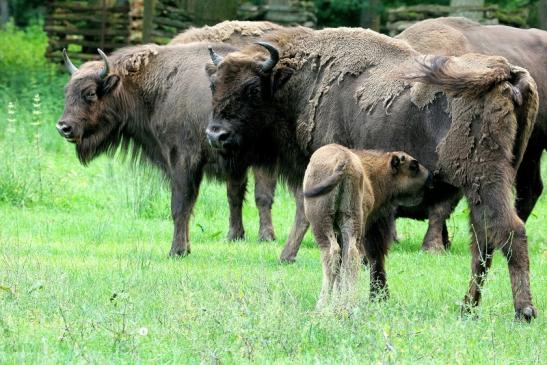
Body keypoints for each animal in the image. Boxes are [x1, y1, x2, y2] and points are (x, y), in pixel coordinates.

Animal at [304, 143, 432, 308]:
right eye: (414, 166)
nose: (431, 178)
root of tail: (344, 159)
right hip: (351, 220)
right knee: (351, 256)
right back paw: (348, 303)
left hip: (321, 223)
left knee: (332, 253)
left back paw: (322, 305)